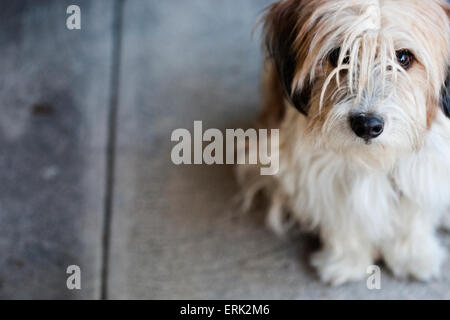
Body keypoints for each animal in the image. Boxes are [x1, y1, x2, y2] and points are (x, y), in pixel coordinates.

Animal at [236, 0, 450, 284]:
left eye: (404, 58)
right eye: (339, 55)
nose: (367, 125)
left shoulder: (428, 166)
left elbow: (414, 214)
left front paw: (413, 255)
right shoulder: (315, 171)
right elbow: (343, 217)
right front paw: (347, 260)